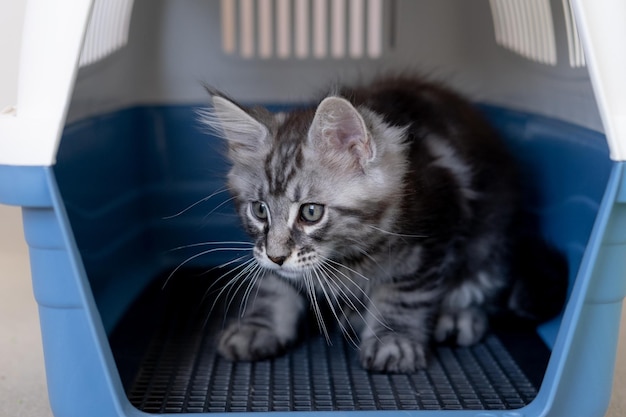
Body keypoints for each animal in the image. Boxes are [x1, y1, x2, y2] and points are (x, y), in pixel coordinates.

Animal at [200, 76, 564, 372]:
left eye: (311, 213)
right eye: (260, 211)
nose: (277, 256)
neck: (350, 256)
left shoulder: (430, 239)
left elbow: (403, 294)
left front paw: (394, 341)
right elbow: (274, 286)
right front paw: (258, 327)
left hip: (491, 243)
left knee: (479, 288)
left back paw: (458, 316)